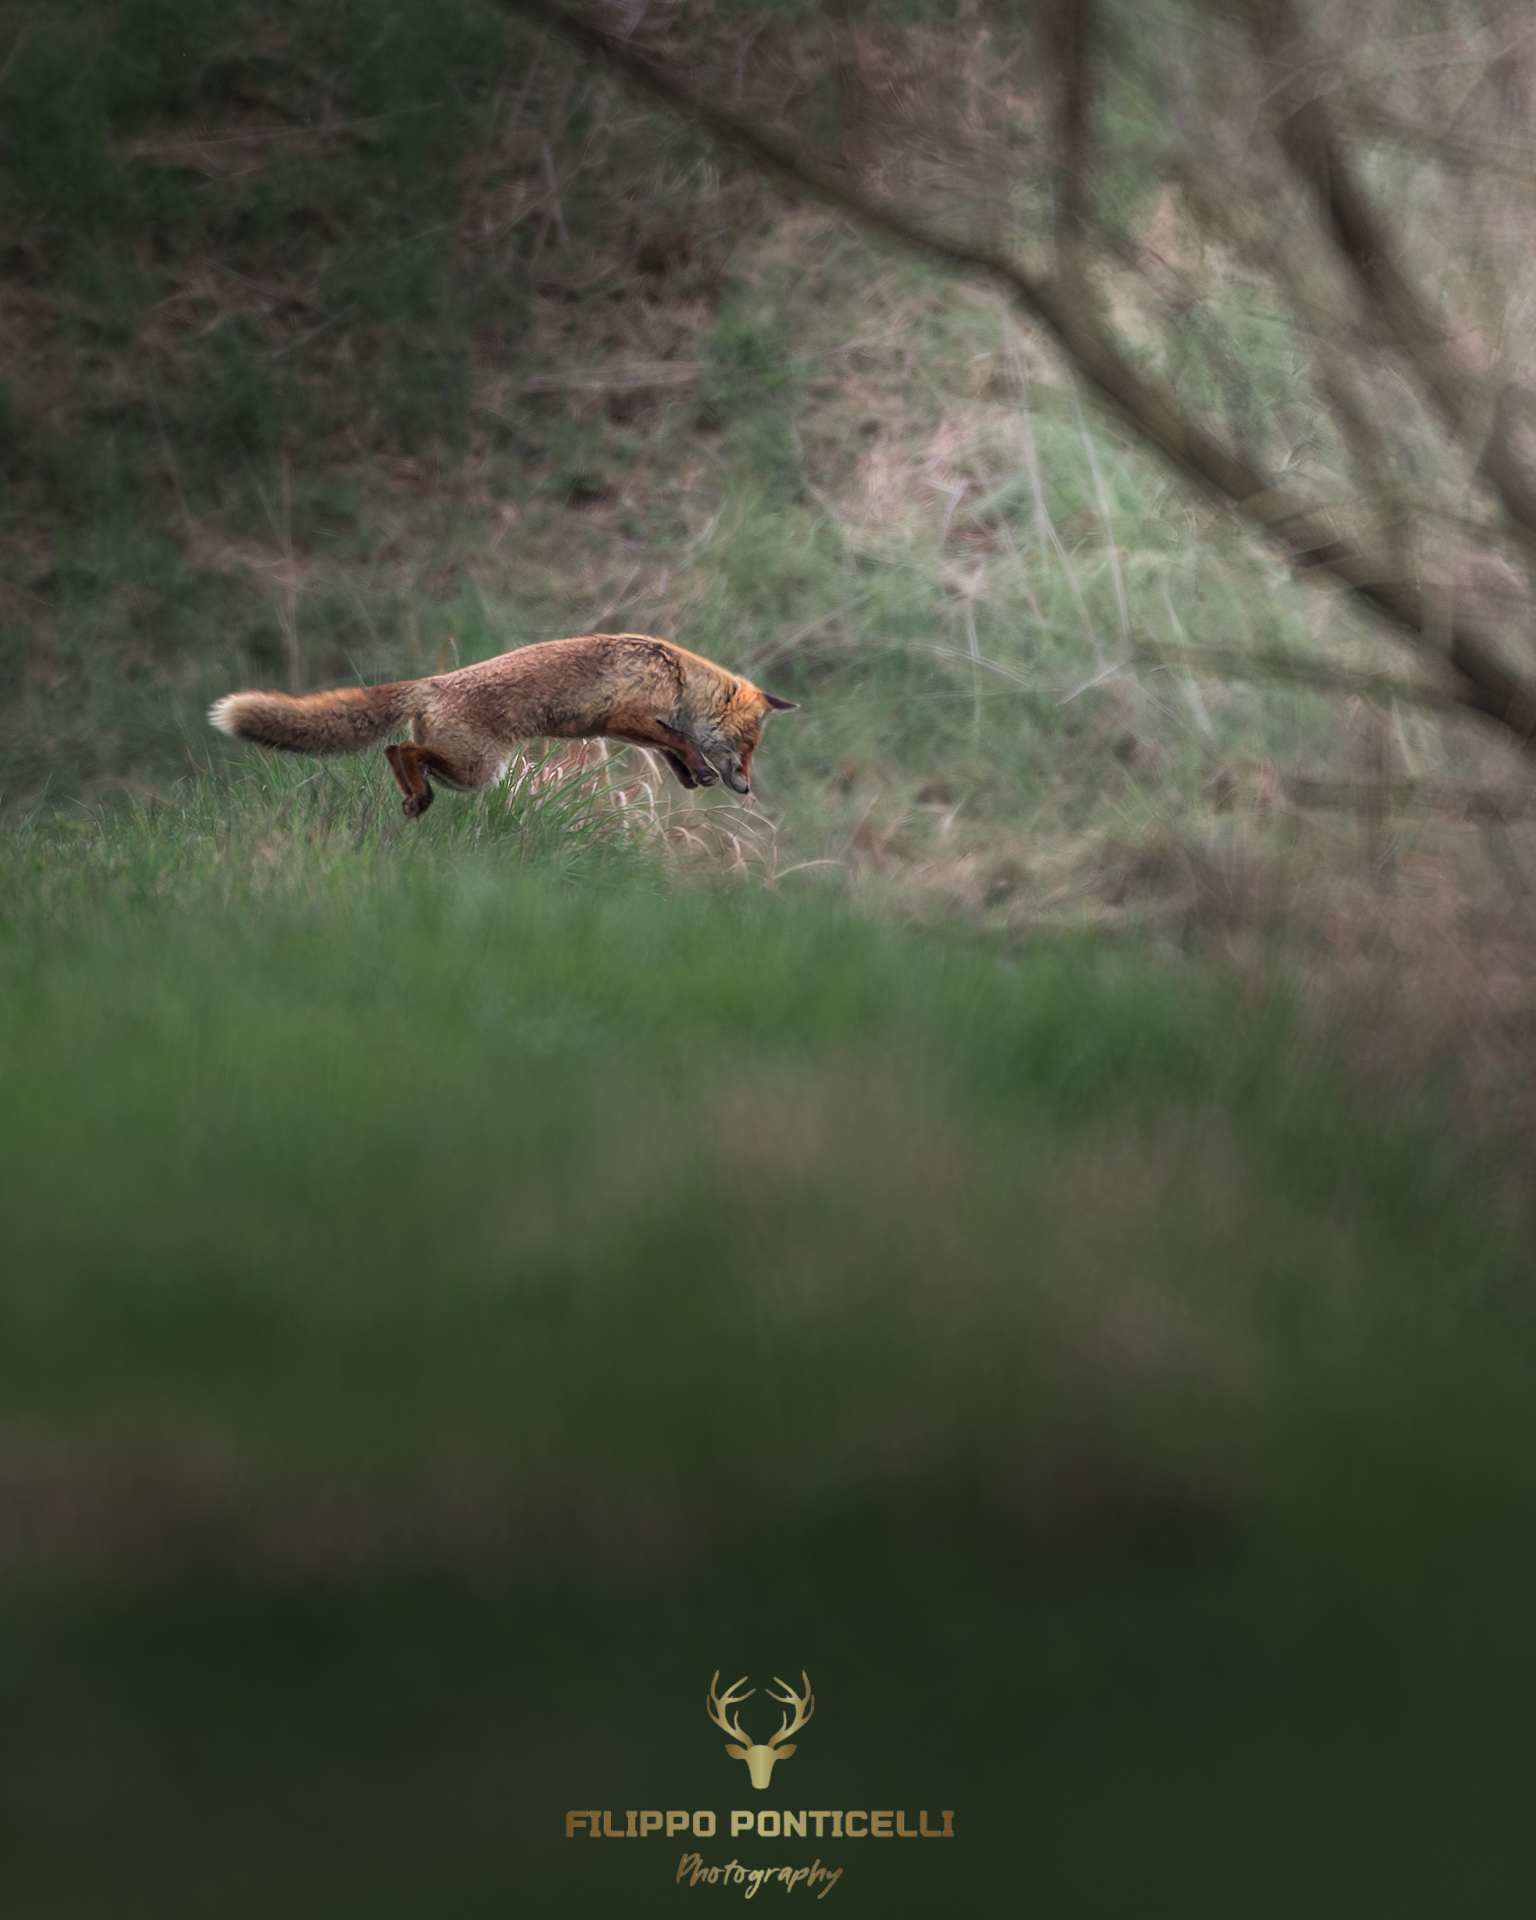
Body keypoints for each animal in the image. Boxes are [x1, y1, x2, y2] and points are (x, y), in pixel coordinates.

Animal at [209, 632, 796, 816]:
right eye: (748, 747)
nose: (746, 788)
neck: (676, 675)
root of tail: (433, 682)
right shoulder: (627, 715)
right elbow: (676, 739)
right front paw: (701, 771)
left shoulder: (631, 724)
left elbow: (674, 747)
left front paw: (692, 777)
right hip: (478, 770)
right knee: (401, 751)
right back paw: (418, 796)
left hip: (467, 768)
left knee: (394, 751)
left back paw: (414, 799)